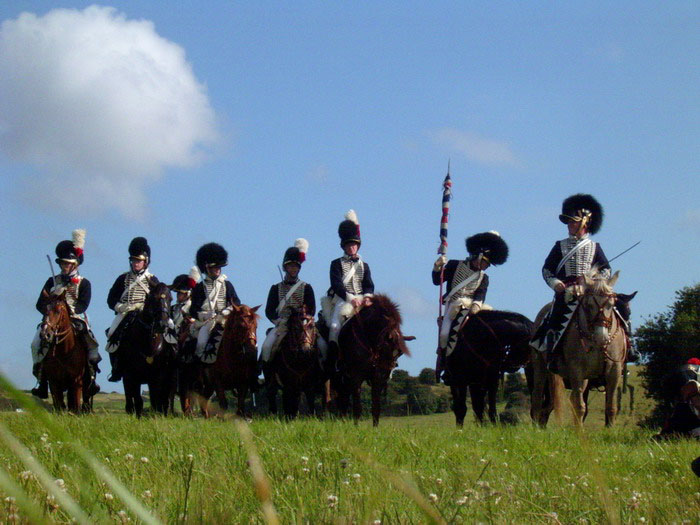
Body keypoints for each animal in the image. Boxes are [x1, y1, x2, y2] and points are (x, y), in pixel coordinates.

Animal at [115, 282, 174, 416]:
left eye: (170, 298)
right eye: (152, 298)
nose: (162, 325)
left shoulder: (156, 377)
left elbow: (156, 402)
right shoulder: (132, 376)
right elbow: (138, 402)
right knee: (130, 401)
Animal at [332, 294, 413, 426]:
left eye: (400, 353)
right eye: (385, 345)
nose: (387, 374)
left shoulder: (377, 378)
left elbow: (376, 406)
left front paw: (375, 428)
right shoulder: (356, 376)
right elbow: (357, 406)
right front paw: (356, 427)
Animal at [529, 271, 628, 427]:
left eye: (611, 304)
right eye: (588, 305)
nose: (601, 337)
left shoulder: (614, 371)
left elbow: (611, 407)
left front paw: (610, 430)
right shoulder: (576, 371)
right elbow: (579, 407)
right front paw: (580, 432)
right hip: (540, 367)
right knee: (537, 398)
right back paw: (536, 428)